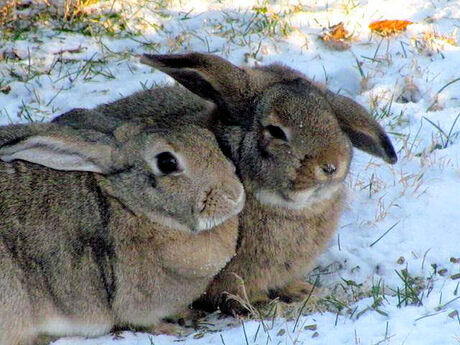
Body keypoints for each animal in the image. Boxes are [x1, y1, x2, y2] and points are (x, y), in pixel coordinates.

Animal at [0, 117, 244, 342]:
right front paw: (173, 330)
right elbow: (145, 321)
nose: (235, 193)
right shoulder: (136, 300)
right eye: (167, 162)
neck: (131, 206)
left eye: (209, 138)